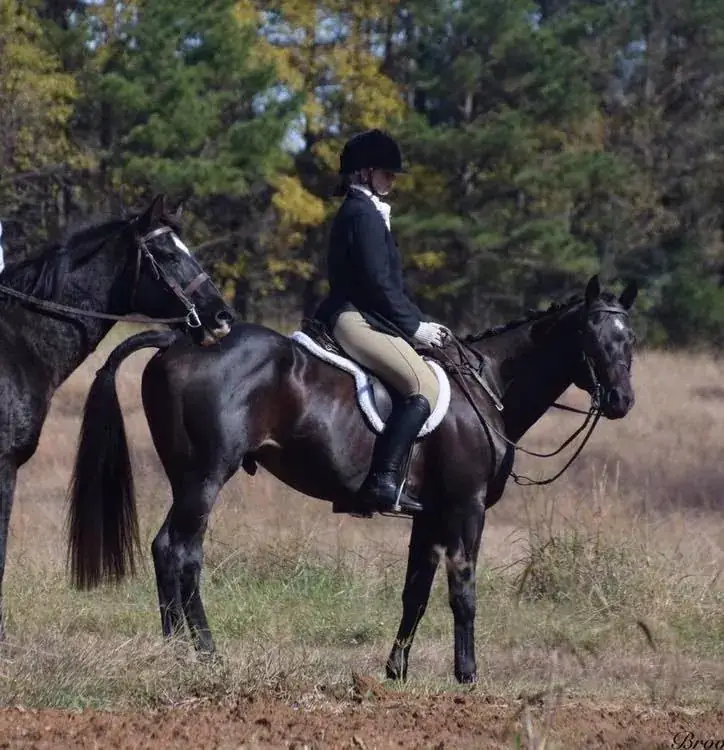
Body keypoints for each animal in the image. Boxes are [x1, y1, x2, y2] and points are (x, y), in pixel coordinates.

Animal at [67, 274, 638, 683]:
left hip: (184, 475)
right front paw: (468, 676)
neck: (488, 387)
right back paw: (200, 653)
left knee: (173, 551)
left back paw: (181, 651)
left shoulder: (429, 515)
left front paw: (396, 672)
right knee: (178, 550)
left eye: (630, 338)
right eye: (589, 335)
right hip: (206, 476)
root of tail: (178, 338)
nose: (621, 401)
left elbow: (415, 591)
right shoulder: (465, 507)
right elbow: (463, 590)